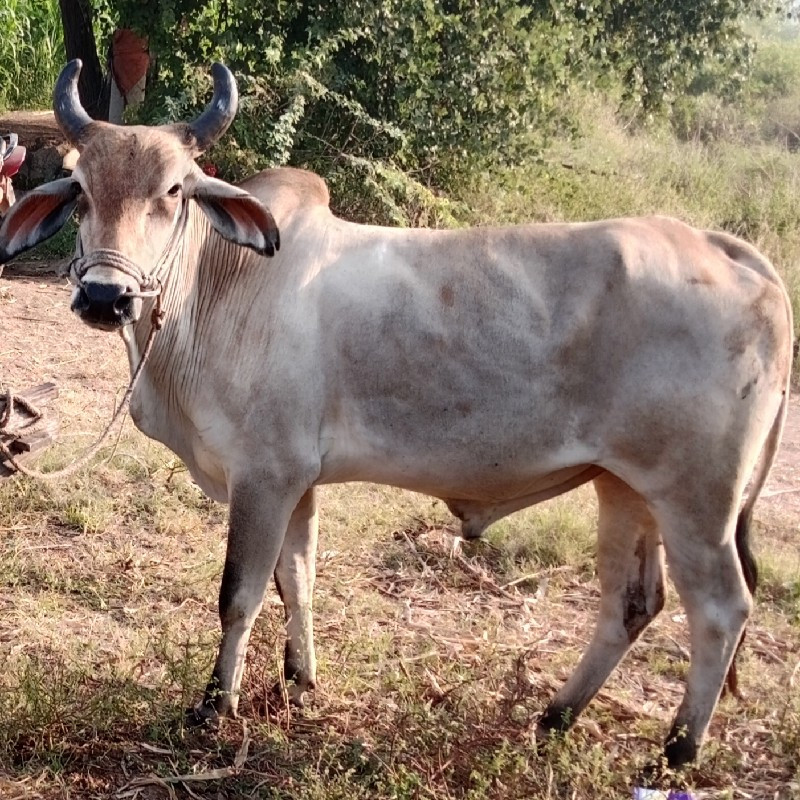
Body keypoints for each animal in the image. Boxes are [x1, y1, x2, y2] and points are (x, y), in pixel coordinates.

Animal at [0, 59, 792, 772]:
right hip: (625, 487)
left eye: (173, 190)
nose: (106, 296)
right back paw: (556, 716)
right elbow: (297, 578)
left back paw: (677, 751)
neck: (222, 286)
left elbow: (240, 594)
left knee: (721, 609)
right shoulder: (298, 482)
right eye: (80, 188)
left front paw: (214, 704)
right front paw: (300, 680)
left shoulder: (265, 475)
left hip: (696, 501)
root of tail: (728, 251)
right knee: (631, 604)